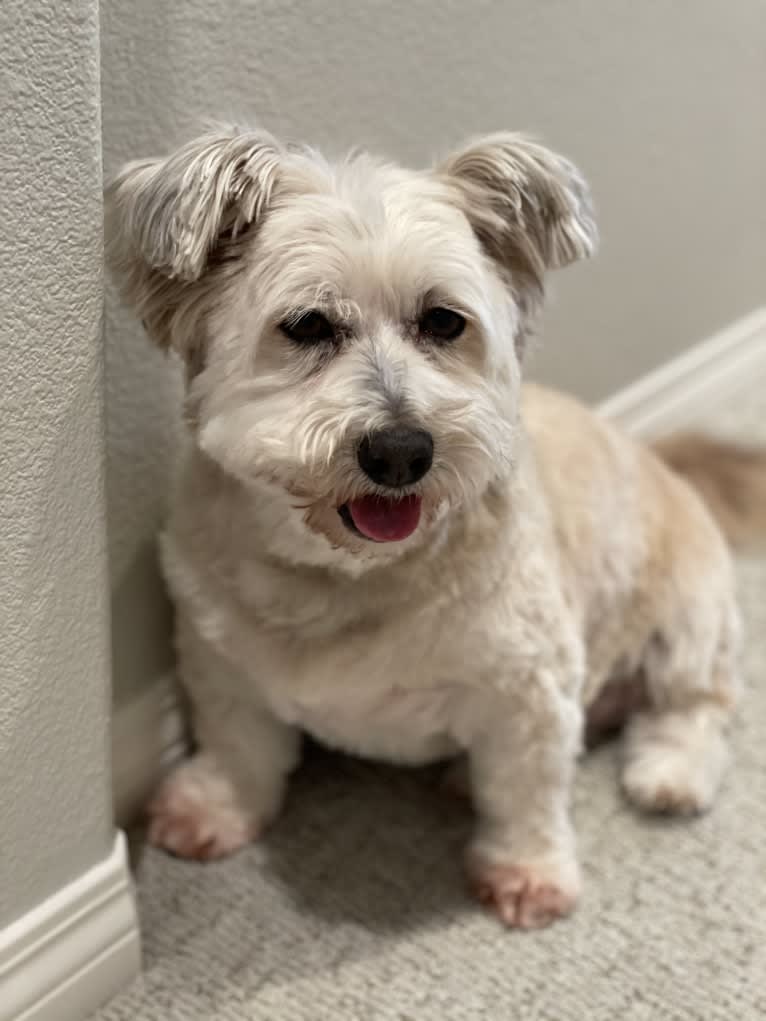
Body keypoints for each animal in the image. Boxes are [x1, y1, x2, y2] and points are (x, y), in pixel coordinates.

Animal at [103, 123, 766, 931]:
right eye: (307, 325)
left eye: (444, 321)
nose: (401, 450)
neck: (345, 578)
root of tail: (657, 456)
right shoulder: (216, 656)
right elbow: (238, 743)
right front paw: (216, 806)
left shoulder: (529, 693)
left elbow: (524, 793)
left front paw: (528, 870)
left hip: (691, 618)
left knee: (696, 707)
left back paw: (668, 772)